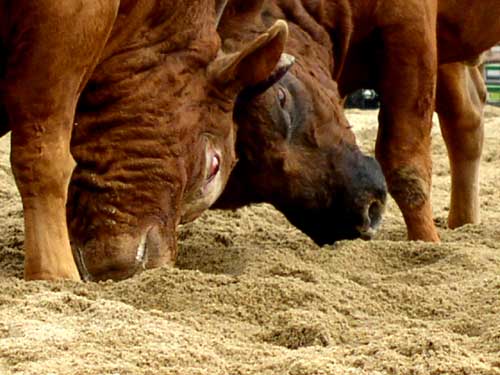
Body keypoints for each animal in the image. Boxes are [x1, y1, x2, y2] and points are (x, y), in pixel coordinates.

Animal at [216, 0, 500, 242]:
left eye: (281, 96)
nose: (361, 212)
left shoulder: (412, 33)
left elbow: (406, 165)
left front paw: (425, 241)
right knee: (466, 116)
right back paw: (463, 224)